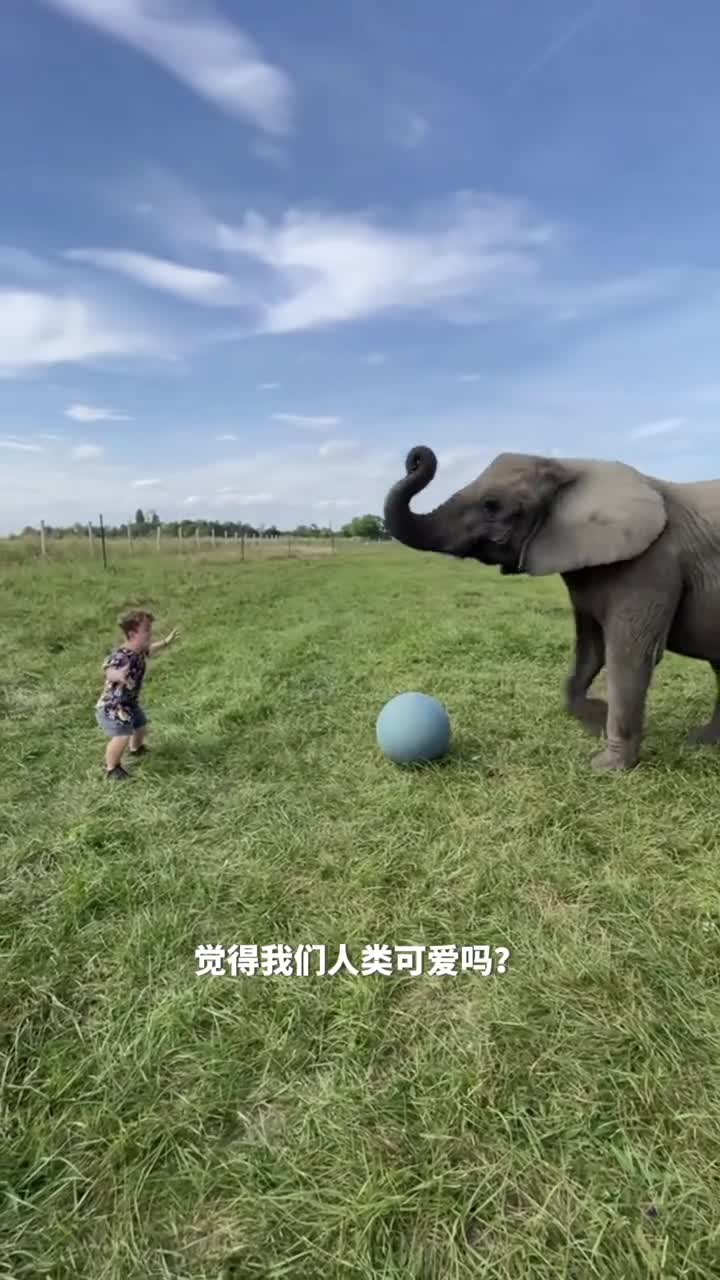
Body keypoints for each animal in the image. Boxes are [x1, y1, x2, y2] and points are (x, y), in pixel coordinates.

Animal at [383, 445, 720, 771]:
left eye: (491, 505)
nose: (416, 457)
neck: (570, 466)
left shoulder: (652, 562)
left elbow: (630, 655)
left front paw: (605, 767)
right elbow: (591, 650)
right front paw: (597, 718)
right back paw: (703, 741)